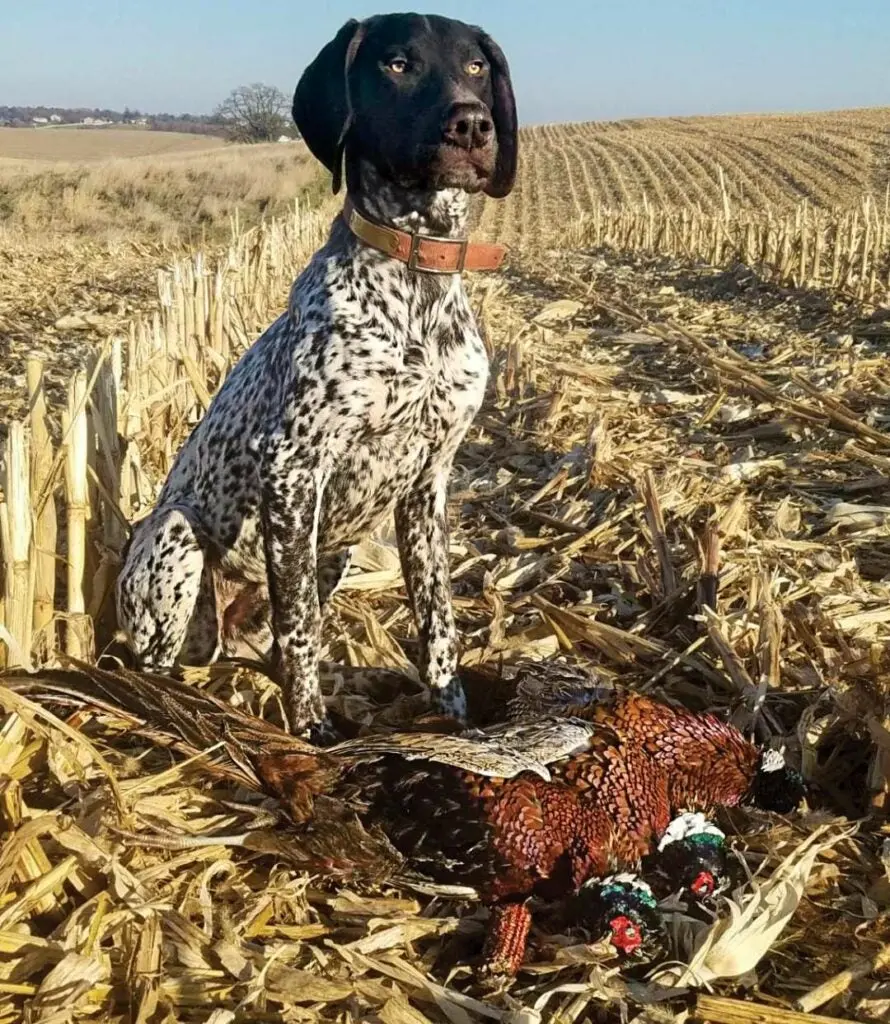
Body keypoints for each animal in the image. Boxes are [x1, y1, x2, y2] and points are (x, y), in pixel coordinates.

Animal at [118, 12, 520, 741]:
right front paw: (311, 727)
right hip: (176, 536)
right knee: (171, 660)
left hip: (332, 550)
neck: (415, 285)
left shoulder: (428, 482)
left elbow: (437, 620)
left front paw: (453, 717)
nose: (473, 125)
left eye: (476, 66)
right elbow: (300, 624)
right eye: (397, 64)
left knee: (270, 643)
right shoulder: (293, 469)